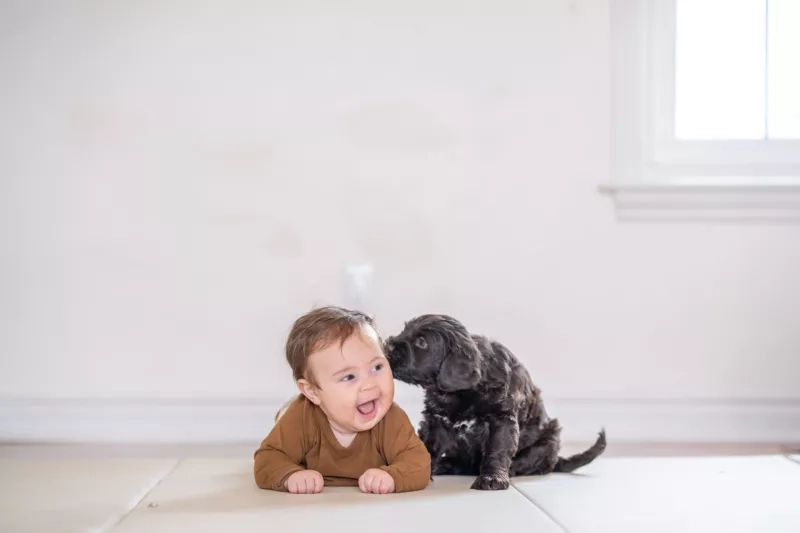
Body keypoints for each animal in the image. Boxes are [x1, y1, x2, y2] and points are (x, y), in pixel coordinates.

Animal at [386, 312, 608, 490]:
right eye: (405, 329)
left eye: (421, 342)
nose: (388, 347)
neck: (460, 393)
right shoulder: (436, 421)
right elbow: (425, 446)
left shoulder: (501, 420)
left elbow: (497, 450)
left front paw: (492, 478)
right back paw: (446, 465)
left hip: (548, 443)